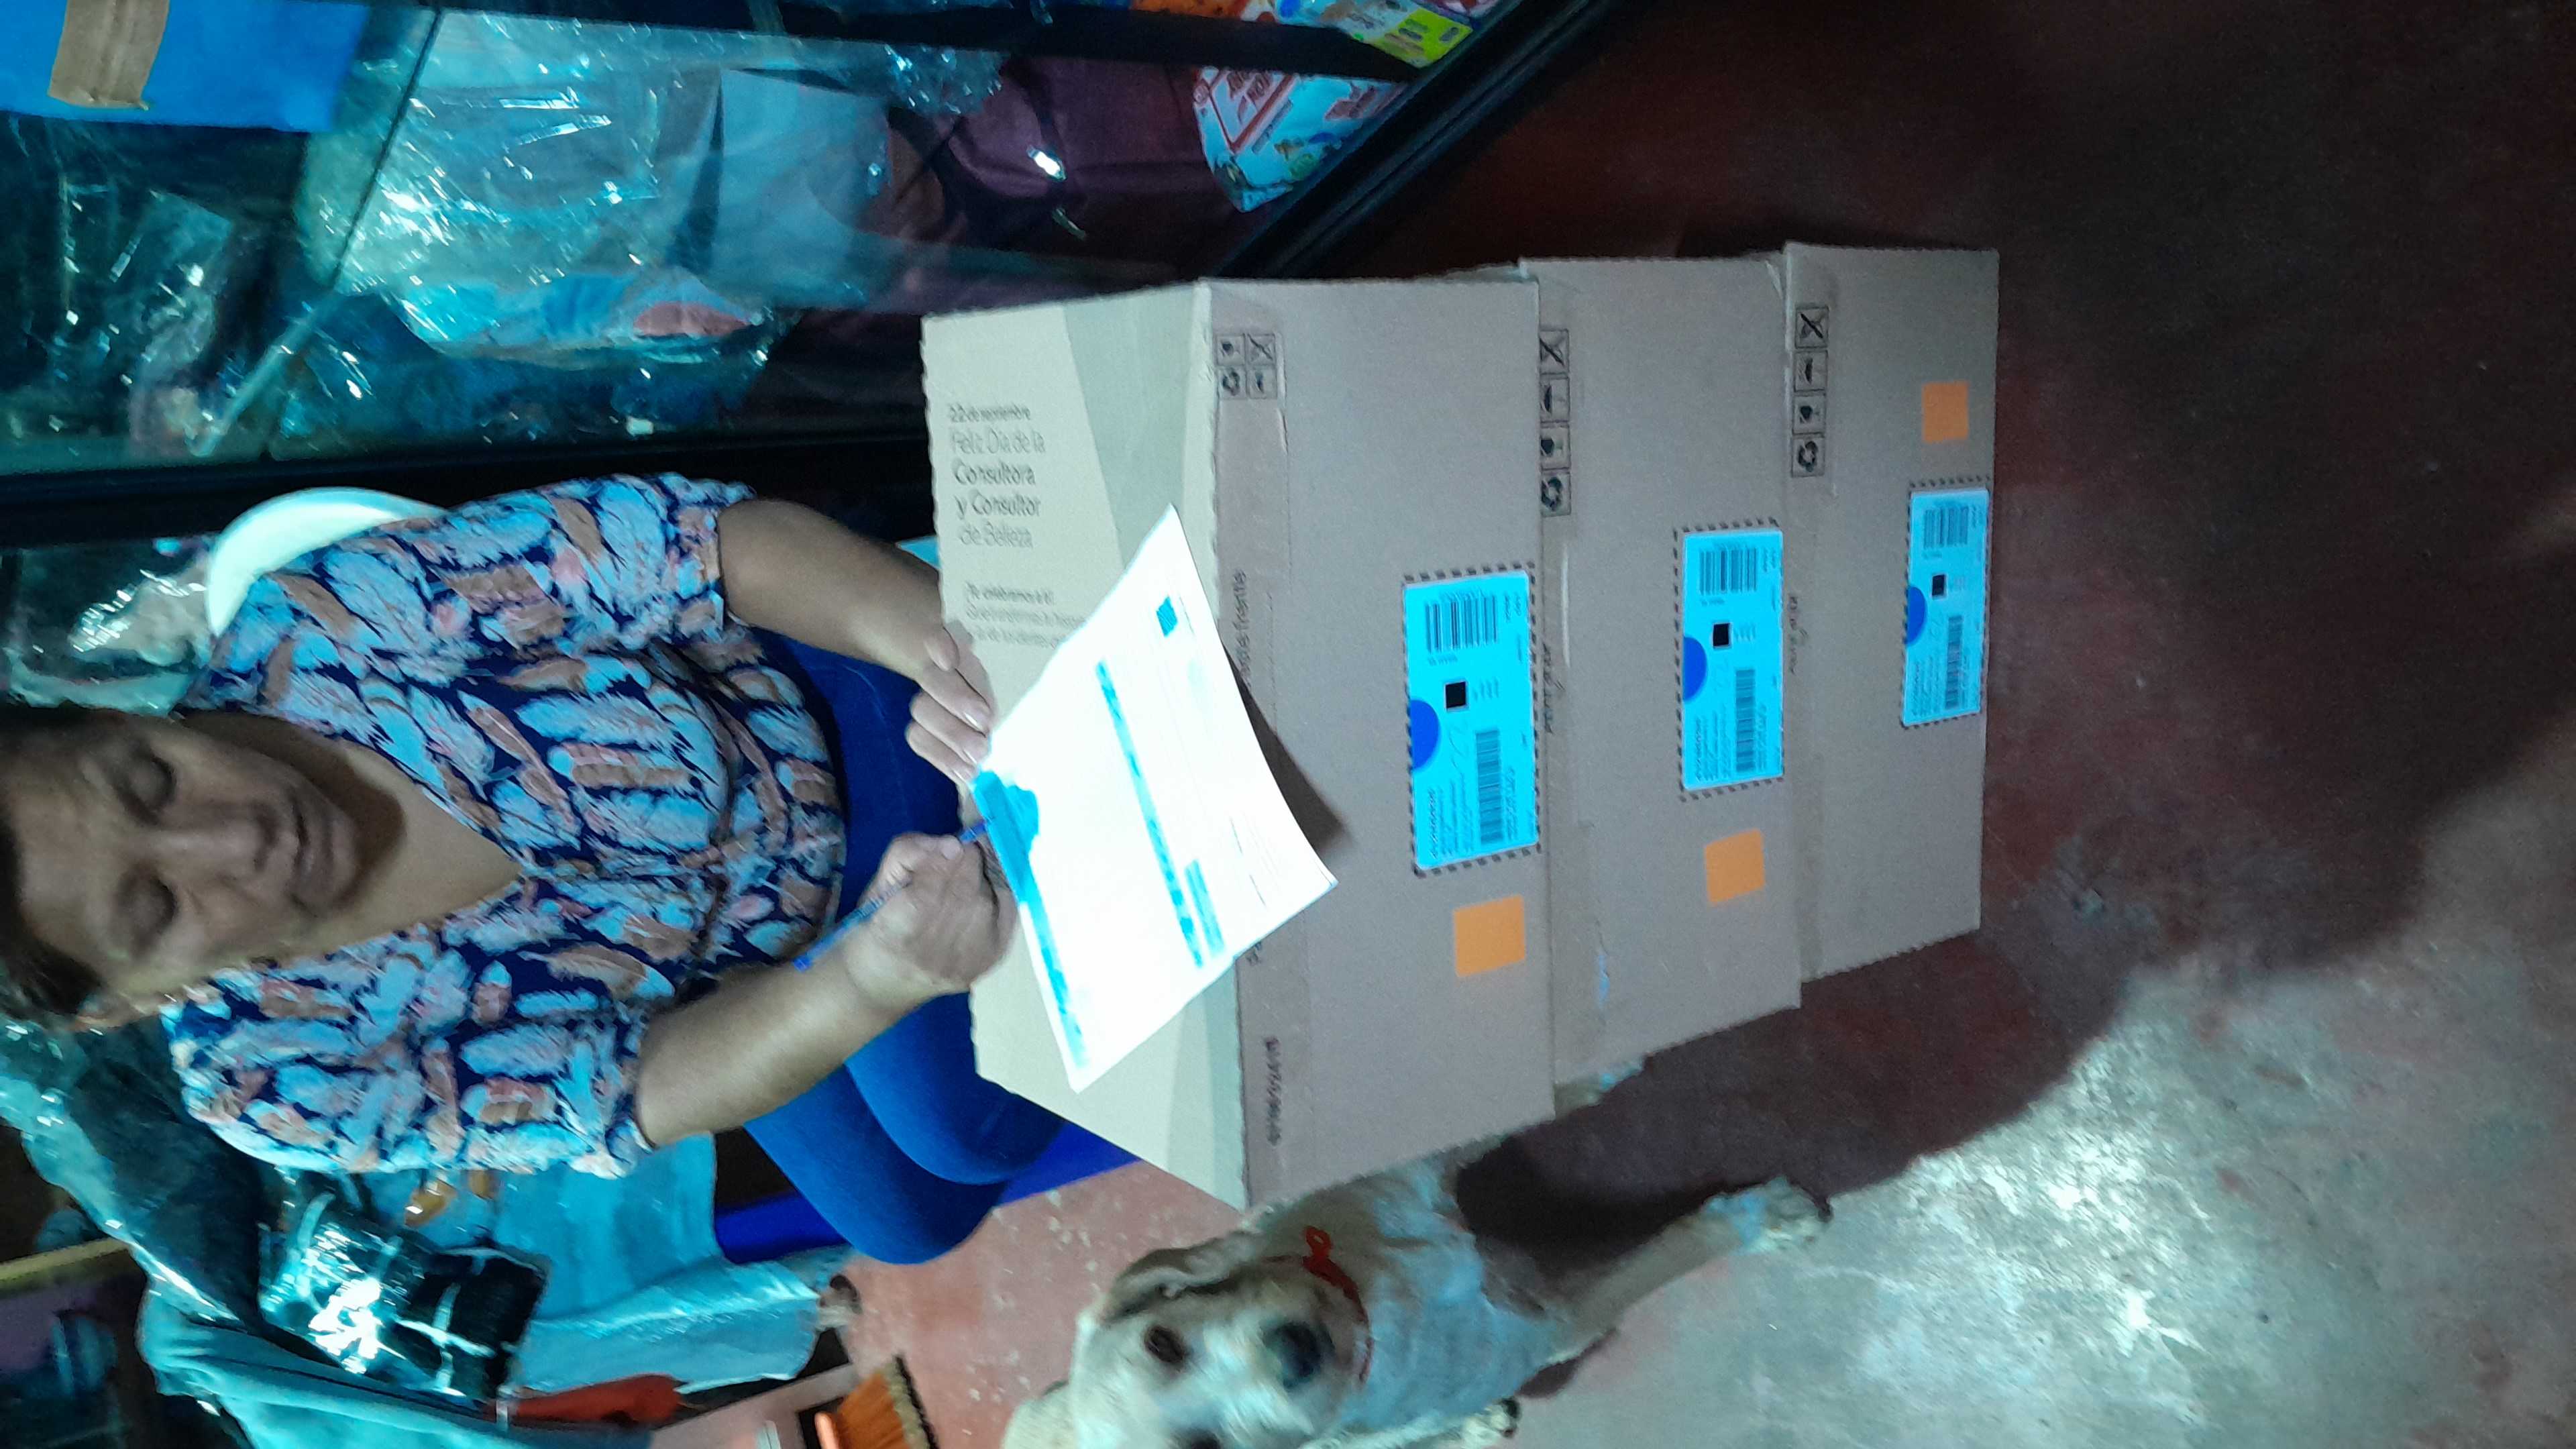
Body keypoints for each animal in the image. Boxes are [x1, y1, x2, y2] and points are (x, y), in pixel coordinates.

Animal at [1003, 1151, 1826, 1449]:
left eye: (1163, 1341)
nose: (1292, 1353)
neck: (1365, 1299)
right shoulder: (1551, 1324)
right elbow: (1668, 1255)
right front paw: (1765, 1222)